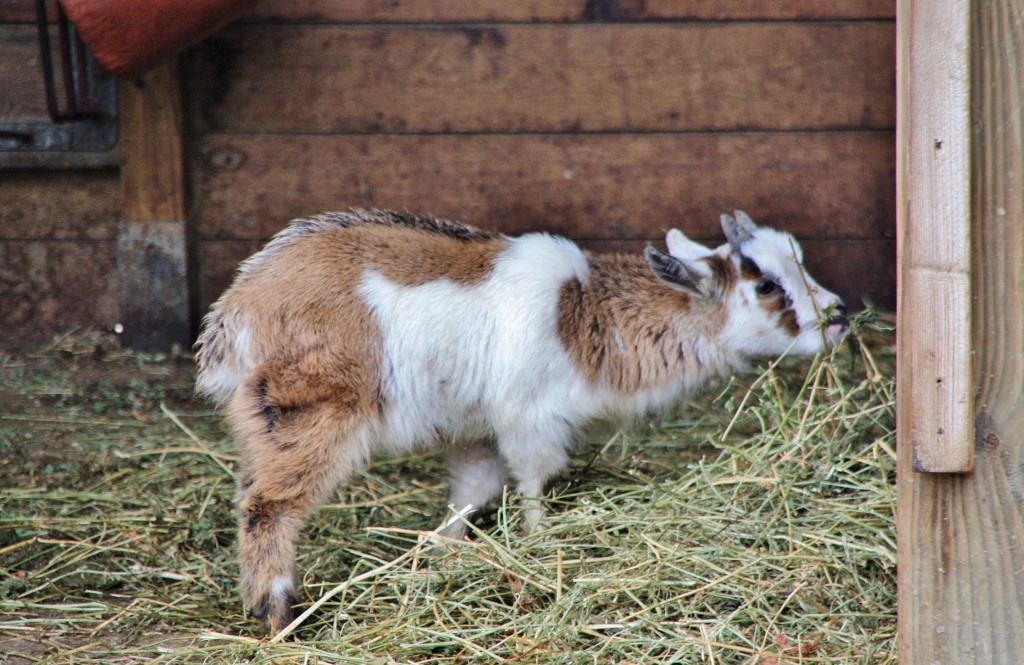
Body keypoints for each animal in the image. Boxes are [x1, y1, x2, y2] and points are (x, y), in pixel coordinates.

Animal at [193, 206, 847, 631]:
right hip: (313, 414)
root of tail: (239, 310)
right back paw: (279, 614)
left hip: (264, 423)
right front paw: (538, 546)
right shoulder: (530, 422)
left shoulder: (477, 431)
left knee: (247, 490)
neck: (584, 315)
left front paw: (443, 556)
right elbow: (533, 484)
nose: (839, 316)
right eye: (766, 285)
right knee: (270, 505)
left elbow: (472, 492)